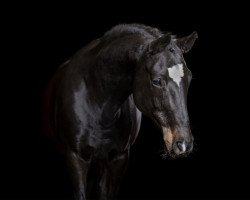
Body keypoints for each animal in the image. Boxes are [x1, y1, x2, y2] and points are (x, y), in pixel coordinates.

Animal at [44, 23, 198, 200]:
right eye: (157, 81)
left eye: (189, 78)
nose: (184, 144)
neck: (97, 102)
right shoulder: (75, 158)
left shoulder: (119, 158)